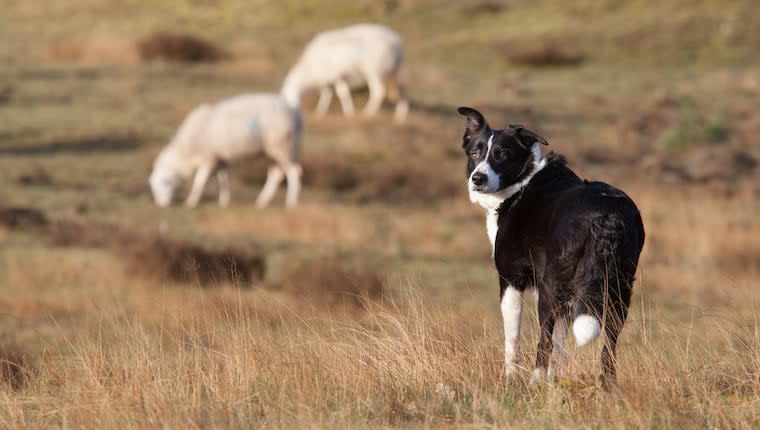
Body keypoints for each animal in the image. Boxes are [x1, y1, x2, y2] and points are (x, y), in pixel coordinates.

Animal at [148, 93, 302, 209]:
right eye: (153, 188)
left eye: (164, 183)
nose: (161, 205)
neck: (186, 149)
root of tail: (295, 112)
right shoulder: (220, 159)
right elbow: (223, 179)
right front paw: (224, 201)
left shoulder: (208, 158)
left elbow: (199, 182)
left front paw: (191, 202)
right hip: (273, 151)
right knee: (276, 174)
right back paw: (262, 201)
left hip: (284, 146)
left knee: (294, 172)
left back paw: (291, 202)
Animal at [280, 23, 410, 122]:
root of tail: (396, 41)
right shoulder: (328, 79)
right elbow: (326, 94)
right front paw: (320, 112)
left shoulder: (336, 76)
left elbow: (342, 93)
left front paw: (349, 113)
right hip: (396, 70)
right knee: (401, 90)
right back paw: (400, 115)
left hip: (374, 70)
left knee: (379, 91)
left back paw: (368, 112)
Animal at [460, 106, 644, 382]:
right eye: (475, 152)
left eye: (503, 155)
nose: (478, 178)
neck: (522, 181)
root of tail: (607, 217)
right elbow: (560, 343)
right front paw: (552, 381)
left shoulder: (512, 280)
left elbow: (513, 337)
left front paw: (511, 377)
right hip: (618, 288)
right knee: (609, 345)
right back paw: (607, 384)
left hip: (552, 287)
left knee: (544, 339)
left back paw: (535, 379)